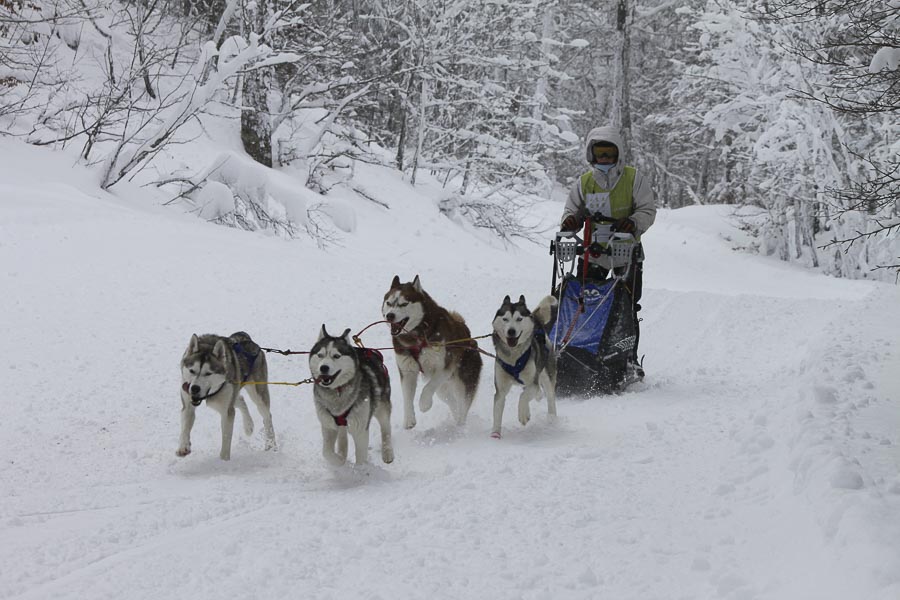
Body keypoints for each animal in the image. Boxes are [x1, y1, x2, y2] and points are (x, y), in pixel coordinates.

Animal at [176, 330, 274, 462]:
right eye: (192, 371)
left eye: (208, 373)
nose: (195, 388)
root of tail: (246, 338)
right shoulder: (188, 405)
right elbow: (185, 429)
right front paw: (183, 447)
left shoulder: (226, 412)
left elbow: (226, 439)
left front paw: (223, 462)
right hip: (233, 393)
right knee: (241, 399)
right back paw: (248, 425)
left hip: (258, 395)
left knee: (267, 417)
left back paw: (271, 445)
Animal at [310, 326, 394, 466]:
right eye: (320, 355)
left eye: (336, 356)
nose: (323, 368)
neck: (337, 391)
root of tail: (369, 351)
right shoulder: (328, 426)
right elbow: (326, 452)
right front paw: (339, 462)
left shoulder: (360, 430)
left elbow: (360, 458)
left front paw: (359, 469)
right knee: (342, 436)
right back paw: (342, 454)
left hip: (381, 406)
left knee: (386, 427)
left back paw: (387, 452)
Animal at [386, 274, 486, 428]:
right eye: (389, 303)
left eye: (404, 304)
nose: (389, 315)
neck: (417, 336)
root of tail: (470, 338)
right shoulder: (407, 370)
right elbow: (407, 396)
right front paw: (409, 419)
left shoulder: (445, 367)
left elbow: (428, 388)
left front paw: (424, 404)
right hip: (443, 389)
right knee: (451, 401)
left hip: (462, 381)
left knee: (462, 405)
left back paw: (461, 425)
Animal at [492, 294, 556, 438]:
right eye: (505, 319)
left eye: (519, 319)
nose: (511, 331)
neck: (513, 358)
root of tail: (537, 322)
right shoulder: (500, 389)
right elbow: (497, 412)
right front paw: (495, 435)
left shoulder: (533, 382)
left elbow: (523, 397)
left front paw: (522, 415)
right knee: (533, 392)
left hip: (546, 374)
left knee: (549, 396)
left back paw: (552, 418)